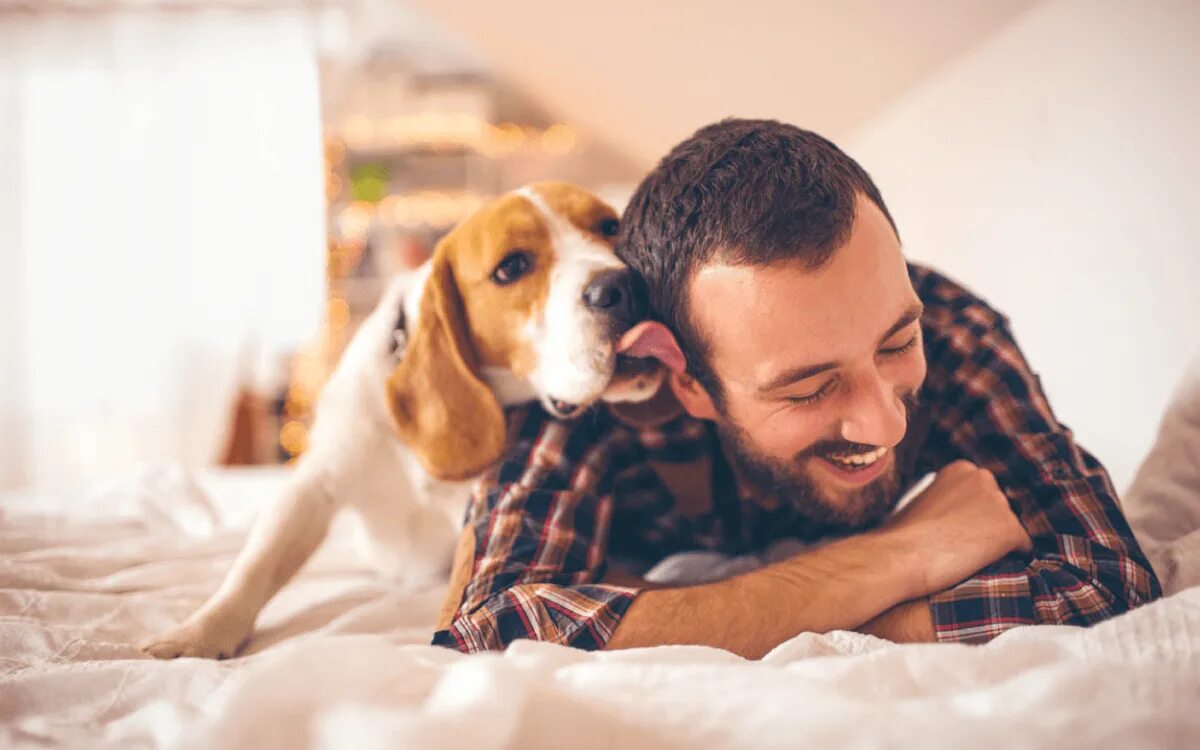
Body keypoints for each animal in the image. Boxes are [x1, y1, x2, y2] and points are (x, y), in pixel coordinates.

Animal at [142, 180, 667, 652]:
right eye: (512, 267)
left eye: (610, 226)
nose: (624, 285)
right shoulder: (315, 485)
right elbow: (256, 565)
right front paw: (200, 632)